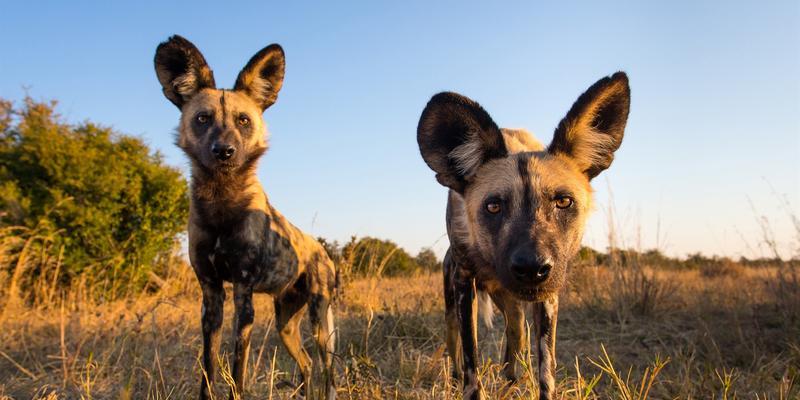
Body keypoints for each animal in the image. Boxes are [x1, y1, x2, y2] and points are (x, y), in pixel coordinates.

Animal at [154, 36, 338, 398]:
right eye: (202, 119)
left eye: (243, 120)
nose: (224, 151)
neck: (221, 202)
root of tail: (322, 250)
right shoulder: (211, 296)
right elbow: (208, 369)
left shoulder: (243, 295)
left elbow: (237, 372)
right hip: (285, 325)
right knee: (307, 363)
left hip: (320, 322)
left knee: (328, 369)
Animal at [416, 73, 628, 398]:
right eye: (493, 206)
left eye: (563, 202)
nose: (531, 269)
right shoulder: (464, 283)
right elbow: (471, 363)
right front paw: (469, 385)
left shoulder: (549, 296)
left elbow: (545, 372)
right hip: (455, 305)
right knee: (456, 346)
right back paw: (454, 379)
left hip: (512, 306)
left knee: (515, 341)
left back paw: (511, 383)